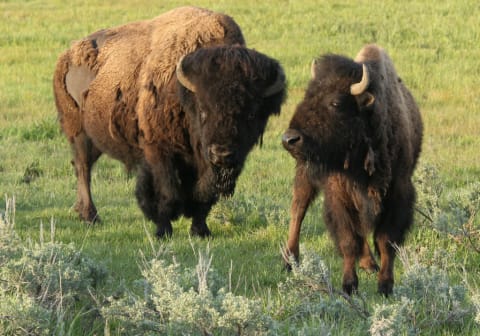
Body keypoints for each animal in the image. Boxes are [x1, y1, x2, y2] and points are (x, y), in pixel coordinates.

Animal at [53, 7, 284, 239]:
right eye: (203, 111)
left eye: (251, 115)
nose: (222, 154)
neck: (184, 93)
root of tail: (67, 55)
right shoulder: (160, 152)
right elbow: (167, 192)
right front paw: (162, 229)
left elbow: (205, 196)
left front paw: (200, 230)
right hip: (78, 132)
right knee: (83, 168)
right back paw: (90, 216)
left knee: (82, 165)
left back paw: (82, 212)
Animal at [284, 43, 422, 296]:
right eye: (307, 95)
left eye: (336, 103)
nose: (289, 139)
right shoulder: (339, 195)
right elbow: (349, 241)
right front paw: (349, 286)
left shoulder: (397, 193)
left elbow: (386, 241)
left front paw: (385, 285)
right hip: (304, 174)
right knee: (298, 210)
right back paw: (290, 260)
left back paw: (369, 264)